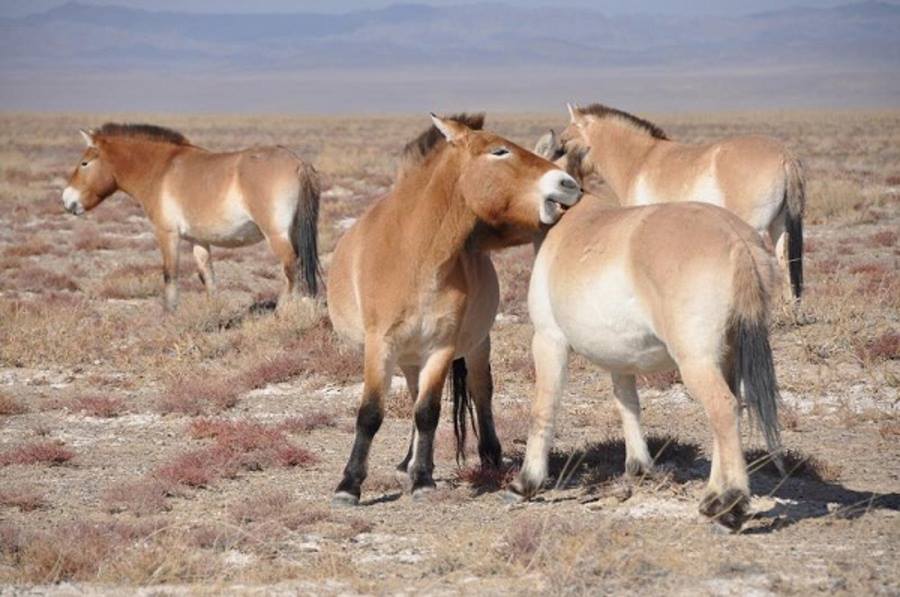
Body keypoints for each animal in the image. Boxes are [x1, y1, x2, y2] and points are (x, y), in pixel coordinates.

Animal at [60, 124, 320, 312]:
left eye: (84, 163)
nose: (66, 200)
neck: (161, 170)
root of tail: (298, 163)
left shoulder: (167, 235)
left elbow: (170, 273)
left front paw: (170, 313)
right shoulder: (199, 240)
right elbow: (207, 276)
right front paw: (214, 311)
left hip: (276, 235)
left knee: (291, 267)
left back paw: (282, 311)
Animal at [330, 112, 584, 502]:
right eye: (500, 151)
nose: (568, 184)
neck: (415, 255)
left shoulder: (441, 347)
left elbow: (428, 412)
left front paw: (422, 479)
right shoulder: (380, 344)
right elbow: (371, 413)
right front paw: (350, 484)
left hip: (476, 345)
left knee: (480, 391)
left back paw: (487, 455)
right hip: (409, 355)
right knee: (415, 392)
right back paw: (406, 461)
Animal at [510, 192, 784, 532]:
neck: (568, 221)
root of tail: (738, 240)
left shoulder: (549, 341)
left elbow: (543, 408)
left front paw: (527, 481)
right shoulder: (620, 358)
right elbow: (627, 404)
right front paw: (639, 466)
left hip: (697, 363)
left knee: (723, 408)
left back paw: (729, 506)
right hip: (726, 359)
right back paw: (711, 501)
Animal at [536, 103, 808, 298]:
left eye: (563, 143)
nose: (560, 183)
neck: (639, 160)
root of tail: (785, 157)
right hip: (778, 225)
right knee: (785, 260)